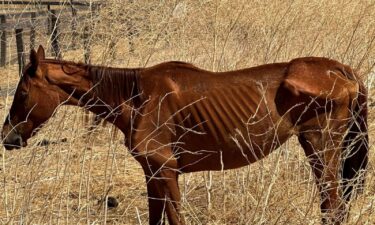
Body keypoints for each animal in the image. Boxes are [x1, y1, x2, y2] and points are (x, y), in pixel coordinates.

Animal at [1, 46, 368, 225]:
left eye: (22, 93)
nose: (8, 137)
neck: (135, 98)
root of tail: (344, 71)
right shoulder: (153, 174)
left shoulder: (166, 170)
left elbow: (176, 220)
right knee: (332, 207)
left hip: (322, 148)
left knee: (334, 207)